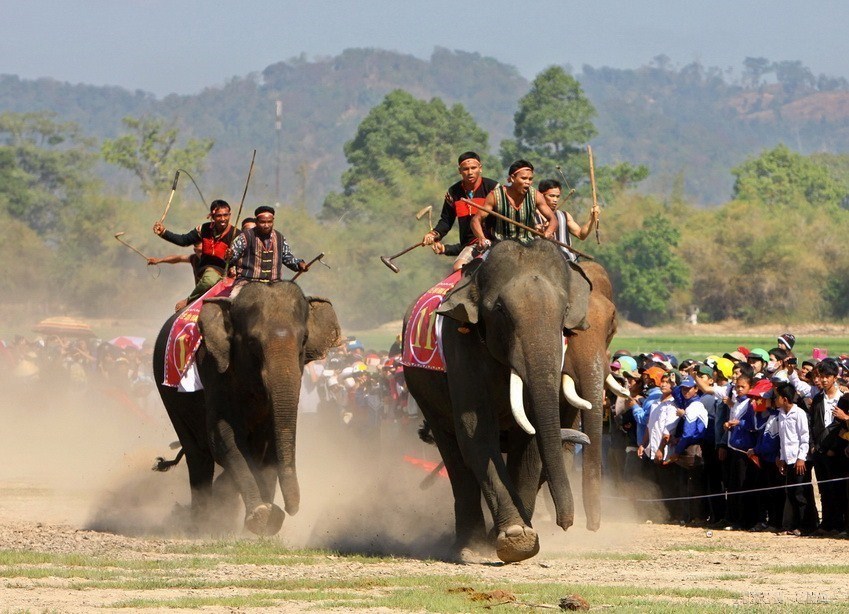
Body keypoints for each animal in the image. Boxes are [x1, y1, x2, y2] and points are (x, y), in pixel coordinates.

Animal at [152, 282, 342, 536]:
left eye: (304, 340)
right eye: (252, 342)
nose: (291, 509)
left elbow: (269, 445)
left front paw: (266, 523)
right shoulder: (214, 368)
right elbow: (223, 437)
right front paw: (260, 515)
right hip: (169, 394)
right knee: (198, 455)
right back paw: (201, 524)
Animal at [404, 239, 596, 564]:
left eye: (565, 311)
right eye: (500, 310)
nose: (566, 523)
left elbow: (531, 439)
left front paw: (518, 536)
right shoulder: (460, 346)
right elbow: (476, 432)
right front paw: (517, 538)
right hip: (421, 391)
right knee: (454, 455)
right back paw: (468, 548)